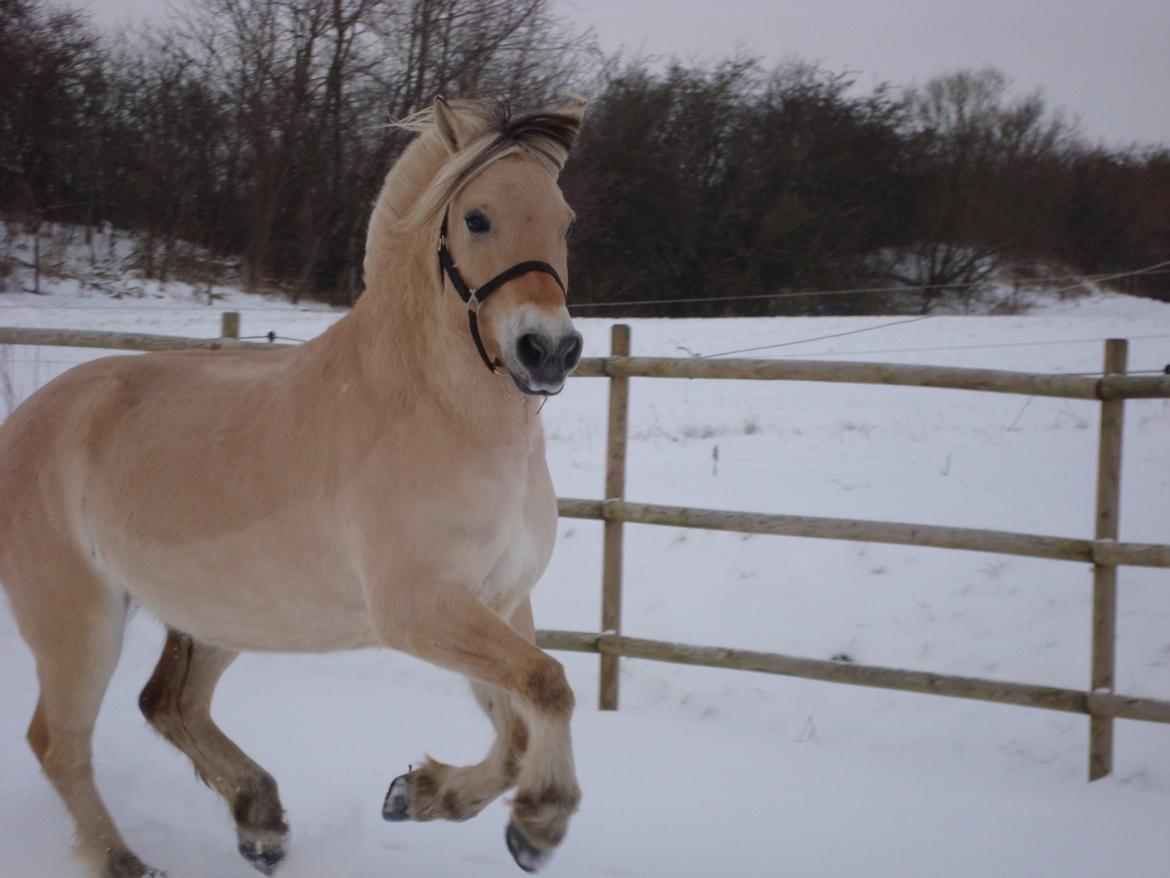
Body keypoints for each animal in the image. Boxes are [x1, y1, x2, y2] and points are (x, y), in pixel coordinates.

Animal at [0, 95, 585, 878]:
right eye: (477, 217)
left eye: (565, 221)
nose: (548, 350)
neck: (441, 413)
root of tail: (23, 424)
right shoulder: (418, 608)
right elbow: (549, 686)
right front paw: (541, 821)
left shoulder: (499, 603)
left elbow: (522, 721)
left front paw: (423, 795)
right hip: (80, 621)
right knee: (60, 744)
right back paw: (130, 862)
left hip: (218, 612)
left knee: (169, 704)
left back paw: (262, 822)